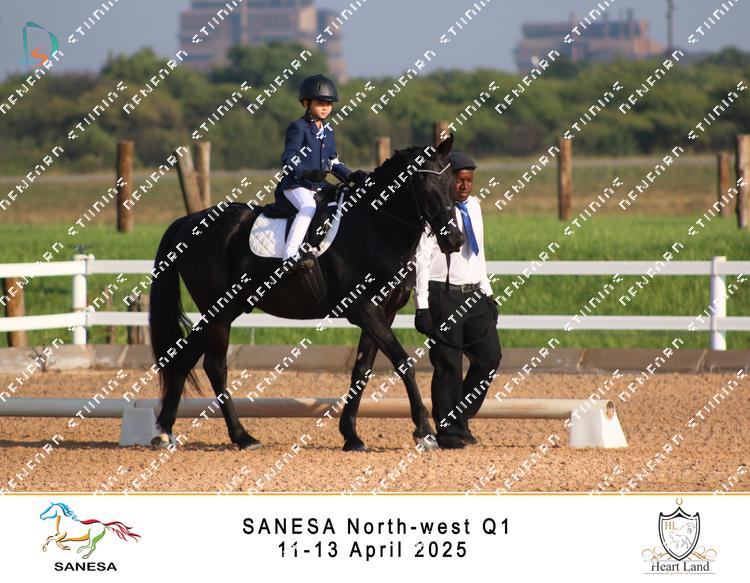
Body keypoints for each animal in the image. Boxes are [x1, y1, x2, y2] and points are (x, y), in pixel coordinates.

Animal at [148, 134, 464, 451]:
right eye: (423, 182)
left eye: (451, 180)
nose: (454, 240)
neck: (377, 227)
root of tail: (190, 220)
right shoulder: (363, 309)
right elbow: (403, 362)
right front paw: (424, 431)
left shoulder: (383, 313)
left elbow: (361, 370)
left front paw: (351, 435)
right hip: (219, 312)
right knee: (215, 367)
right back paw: (242, 436)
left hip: (222, 311)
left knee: (184, 360)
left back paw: (164, 431)